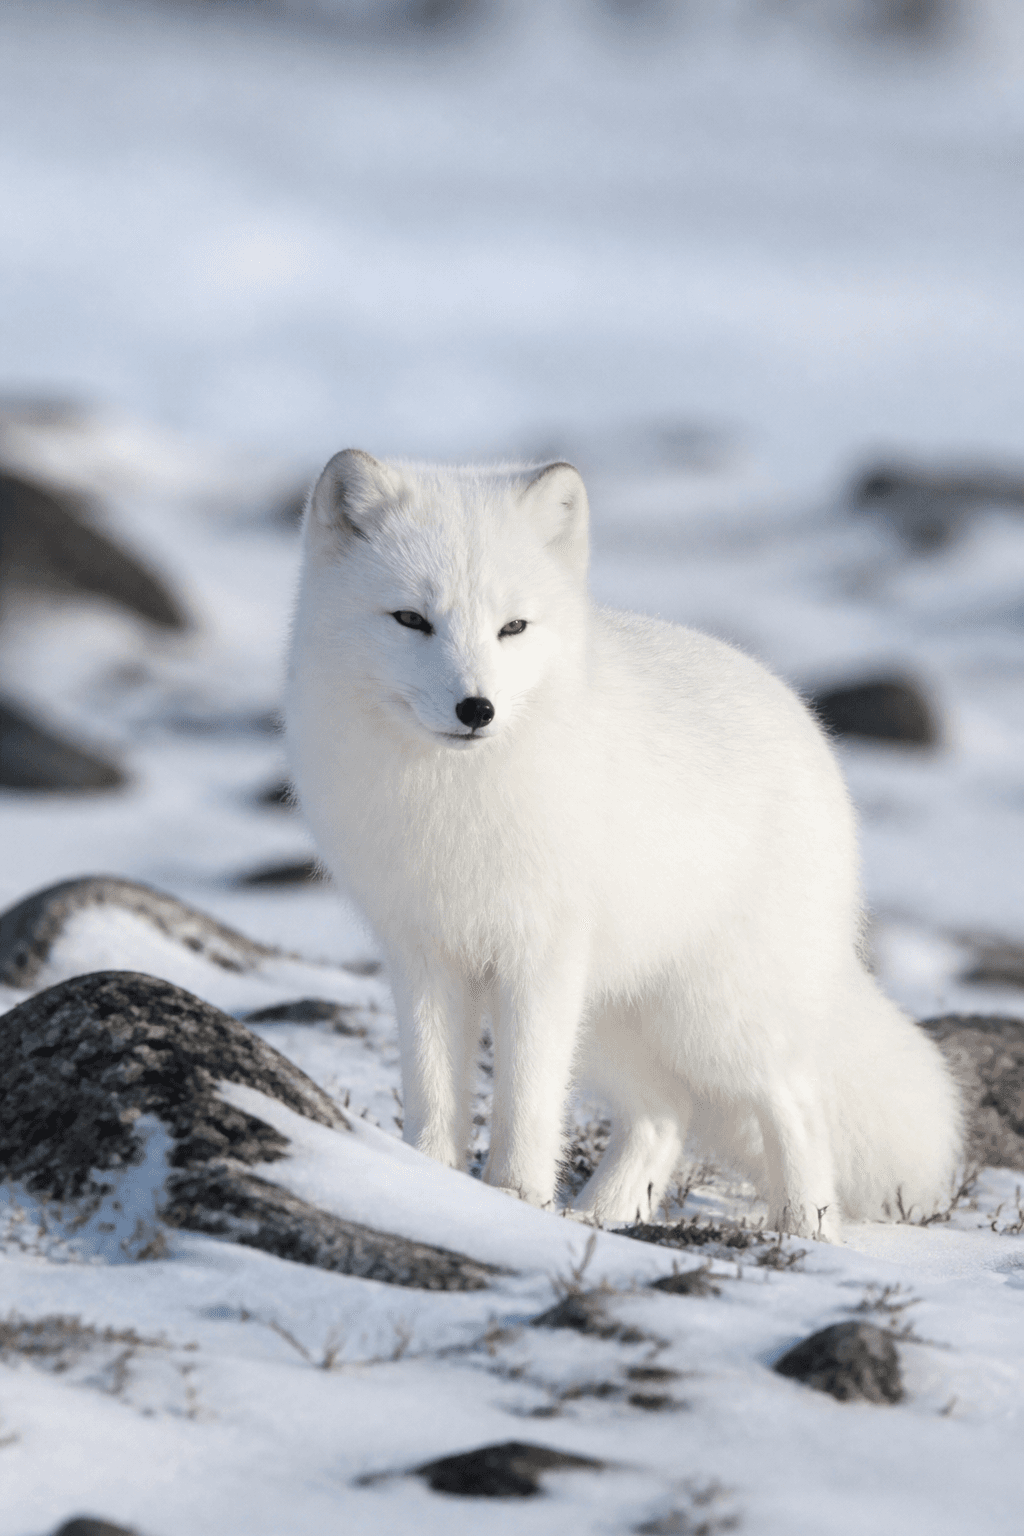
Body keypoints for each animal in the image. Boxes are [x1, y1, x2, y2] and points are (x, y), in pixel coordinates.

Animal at [286, 450, 962, 1238]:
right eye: (410, 619)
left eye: (513, 627)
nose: (476, 708)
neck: (453, 797)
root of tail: (809, 729)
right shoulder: (423, 953)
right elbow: (432, 1088)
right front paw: (427, 1177)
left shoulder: (539, 955)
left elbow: (528, 1097)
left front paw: (515, 1197)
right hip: (614, 1014)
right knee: (665, 1115)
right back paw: (601, 1218)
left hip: (715, 1011)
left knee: (795, 1102)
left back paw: (806, 1231)